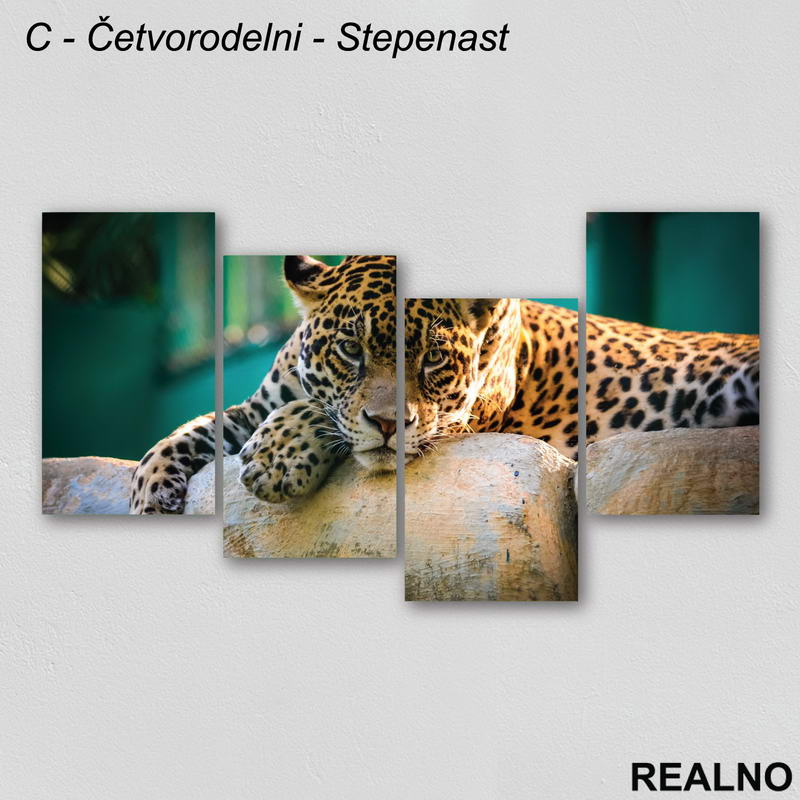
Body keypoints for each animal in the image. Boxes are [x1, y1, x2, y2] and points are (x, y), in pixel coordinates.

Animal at [129, 255, 397, 514]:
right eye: (351, 348)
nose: (387, 424)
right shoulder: (252, 411)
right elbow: (185, 434)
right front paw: (149, 494)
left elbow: (321, 407)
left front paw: (279, 456)